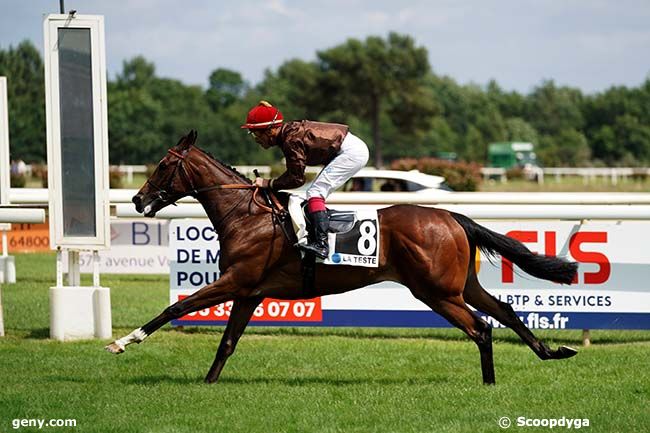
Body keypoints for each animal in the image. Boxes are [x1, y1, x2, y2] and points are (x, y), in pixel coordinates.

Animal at [105, 130, 576, 384]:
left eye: (163, 165)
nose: (138, 199)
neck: (248, 215)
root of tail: (452, 216)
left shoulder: (237, 281)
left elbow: (175, 307)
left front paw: (122, 342)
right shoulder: (250, 292)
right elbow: (227, 342)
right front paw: (207, 382)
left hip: (436, 292)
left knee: (481, 328)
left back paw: (489, 383)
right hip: (461, 285)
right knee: (505, 311)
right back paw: (549, 353)